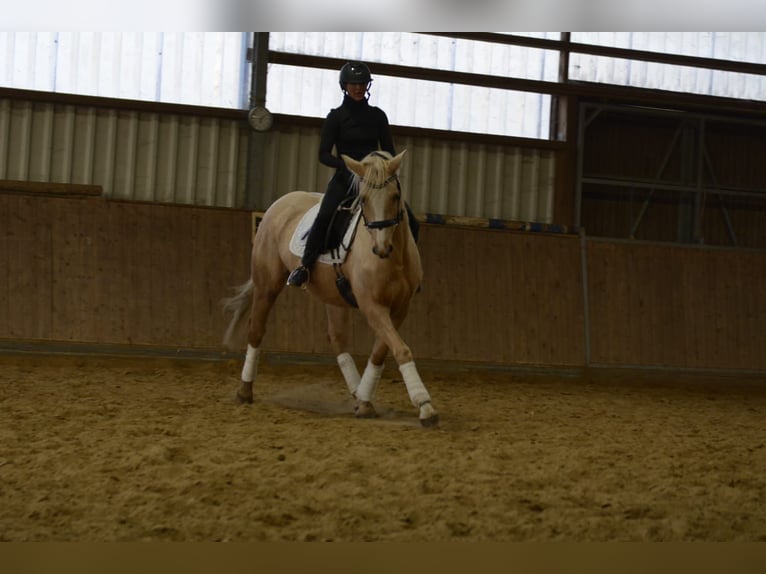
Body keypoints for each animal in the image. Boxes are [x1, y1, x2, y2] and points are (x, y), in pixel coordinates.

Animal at [222, 150, 439, 427]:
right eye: (363, 199)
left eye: (395, 196)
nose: (381, 248)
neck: (394, 257)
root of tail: (279, 203)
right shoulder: (372, 306)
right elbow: (400, 349)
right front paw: (425, 406)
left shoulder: (400, 308)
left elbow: (380, 351)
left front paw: (365, 402)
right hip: (267, 284)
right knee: (256, 330)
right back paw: (244, 390)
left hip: (332, 297)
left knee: (337, 340)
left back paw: (358, 395)